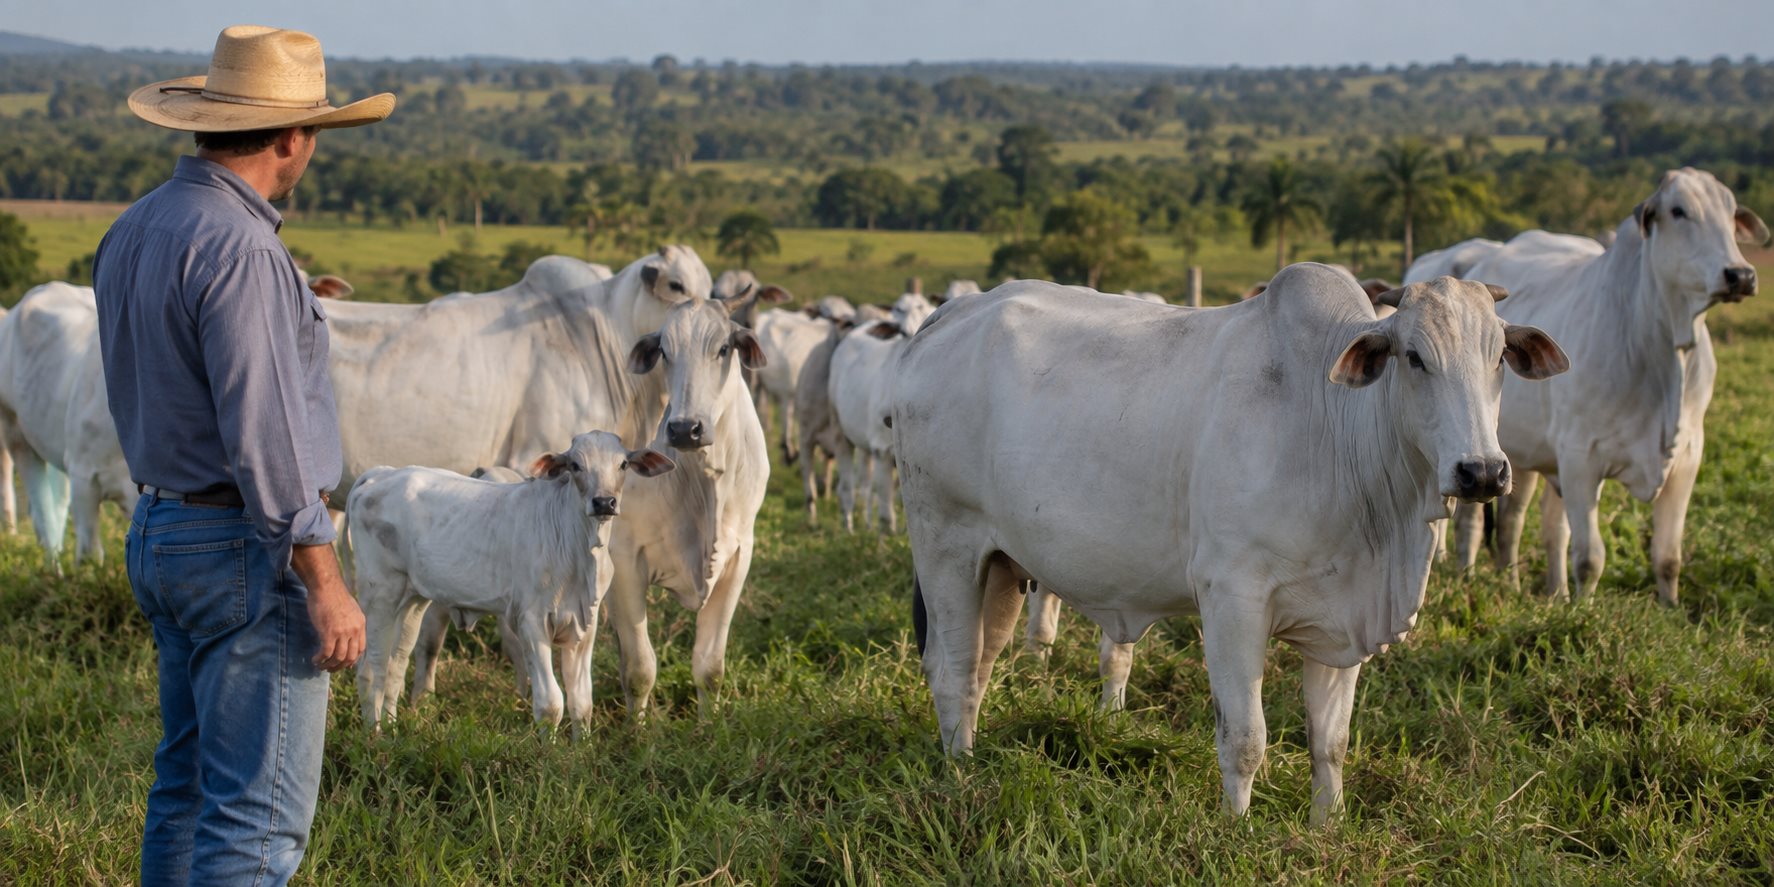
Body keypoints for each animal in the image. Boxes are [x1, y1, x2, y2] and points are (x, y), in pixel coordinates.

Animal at [350, 432, 674, 734]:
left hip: (412, 599)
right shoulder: (531, 621)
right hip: (379, 595)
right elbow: (551, 704)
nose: (604, 502)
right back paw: (375, 737)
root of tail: (380, 474)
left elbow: (581, 703)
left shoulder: (585, 624)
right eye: (575, 465)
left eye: (623, 464)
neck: (578, 549)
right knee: (370, 671)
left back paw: (392, 729)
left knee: (395, 666)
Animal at [827, 293, 934, 533]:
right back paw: (848, 528)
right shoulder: (883, 452)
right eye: (903, 334)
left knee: (866, 484)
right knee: (847, 486)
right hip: (840, 431)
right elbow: (886, 517)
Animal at [890, 267, 1568, 822]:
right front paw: (1235, 829)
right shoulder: (1232, 598)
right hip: (946, 544)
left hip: (1003, 566)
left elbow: (1331, 742)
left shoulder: (1344, 616)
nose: (1482, 472)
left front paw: (1326, 828)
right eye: (1414, 357)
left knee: (980, 667)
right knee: (951, 671)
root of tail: (951, 314)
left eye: (1499, 357)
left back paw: (972, 761)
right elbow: (1245, 737)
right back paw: (958, 780)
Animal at [1454, 168, 1767, 604]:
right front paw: (1583, 608)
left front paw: (1669, 609)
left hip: (1527, 454)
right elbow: (1590, 557)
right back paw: (1469, 579)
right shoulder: (1580, 458)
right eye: (1678, 211)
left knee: (1524, 523)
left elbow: (1667, 555)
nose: (1741, 275)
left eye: (1731, 211)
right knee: (1474, 521)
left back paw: (1533, 588)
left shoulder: (1688, 457)